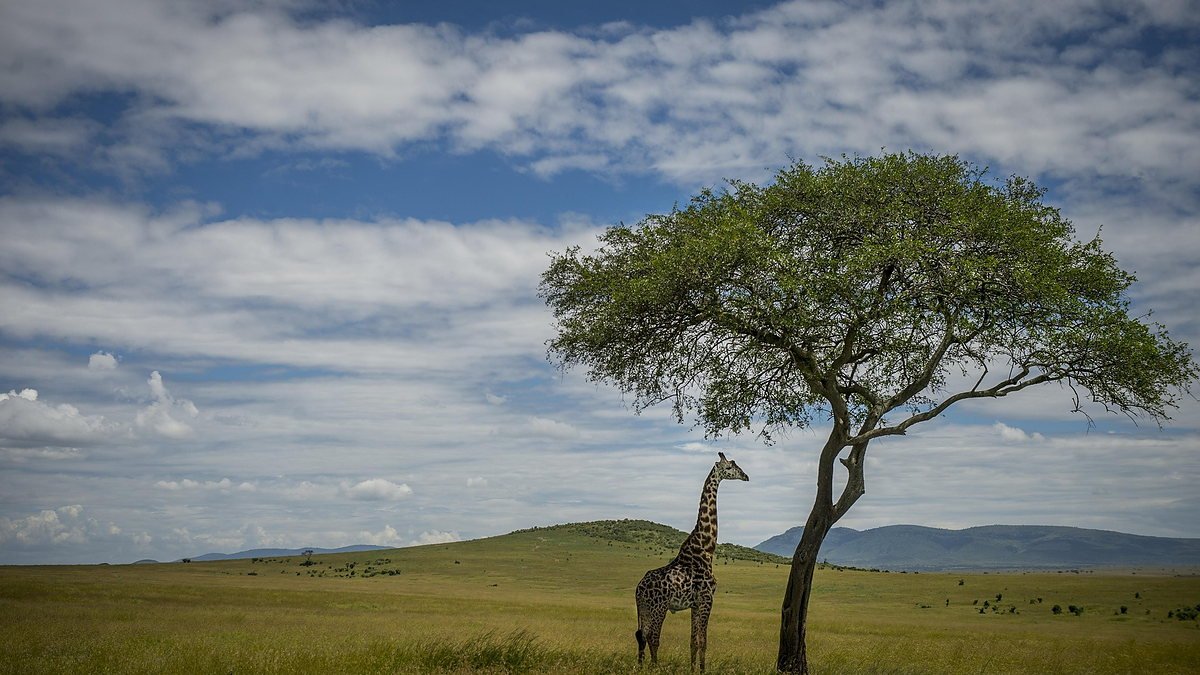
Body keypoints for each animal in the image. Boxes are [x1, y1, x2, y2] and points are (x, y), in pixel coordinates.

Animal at [635, 452, 749, 672]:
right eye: (730, 467)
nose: (746, 476)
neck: (705, 549)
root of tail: (639, 589)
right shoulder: (707, 599)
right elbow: (703, 641)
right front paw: (703, 670)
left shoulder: (695, 605)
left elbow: (692, 641)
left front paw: (693, 668)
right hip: (658, 607)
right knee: (653, 637)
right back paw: (655, 667)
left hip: (643, 609)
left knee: (640, 636)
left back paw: (640, 667)